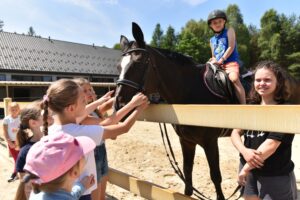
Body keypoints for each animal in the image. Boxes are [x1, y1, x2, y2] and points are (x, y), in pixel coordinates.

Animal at [112, 22, 241, 200]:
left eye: (139, 63)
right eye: (119, 66)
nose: (119, 105)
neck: (192, 90)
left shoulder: (210, 142)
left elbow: (215, 176)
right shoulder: (186, 141)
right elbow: (187, 174)